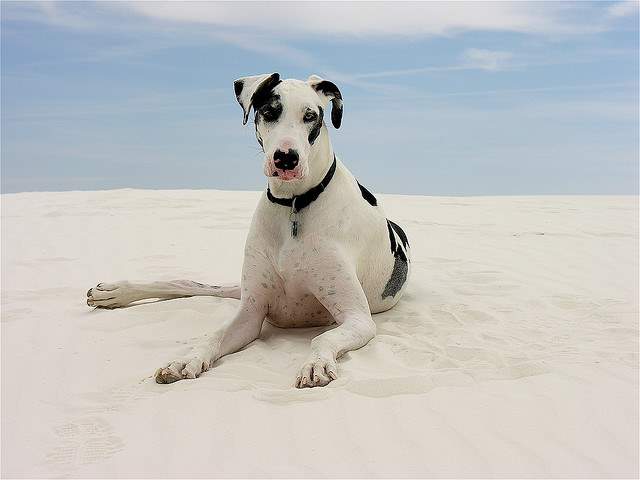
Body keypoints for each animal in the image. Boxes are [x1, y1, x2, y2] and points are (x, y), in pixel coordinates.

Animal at [86, 74, 410, 390]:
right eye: (269, 112)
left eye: (310, 116)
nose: (286, 158)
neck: (294, 205)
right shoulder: (251, 312)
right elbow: (212, 336)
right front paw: (184, 361)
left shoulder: (357, 318)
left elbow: (323, 338)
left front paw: (315, 364)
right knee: (190, 283)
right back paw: (114, 292)